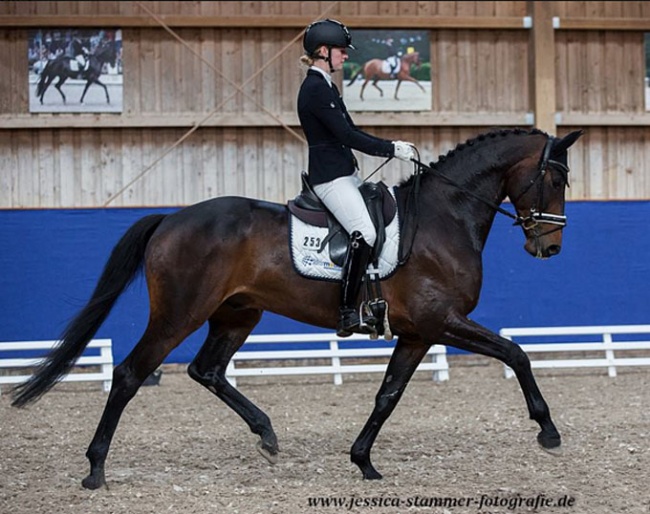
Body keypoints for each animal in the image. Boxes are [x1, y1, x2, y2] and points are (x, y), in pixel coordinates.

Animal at [11, 126, 584, 486]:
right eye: (556, 179)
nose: (551, 247)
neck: (444, 217)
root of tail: (171, 218)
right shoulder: (441, 321)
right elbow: (516, 354)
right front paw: (548, 431)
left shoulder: (419, 332)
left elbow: (388, 395)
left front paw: (363, 461)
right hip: (179, 314)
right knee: (131, 374)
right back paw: (95, 469)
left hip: (237, 313)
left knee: (206, 370)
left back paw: (266, 433)